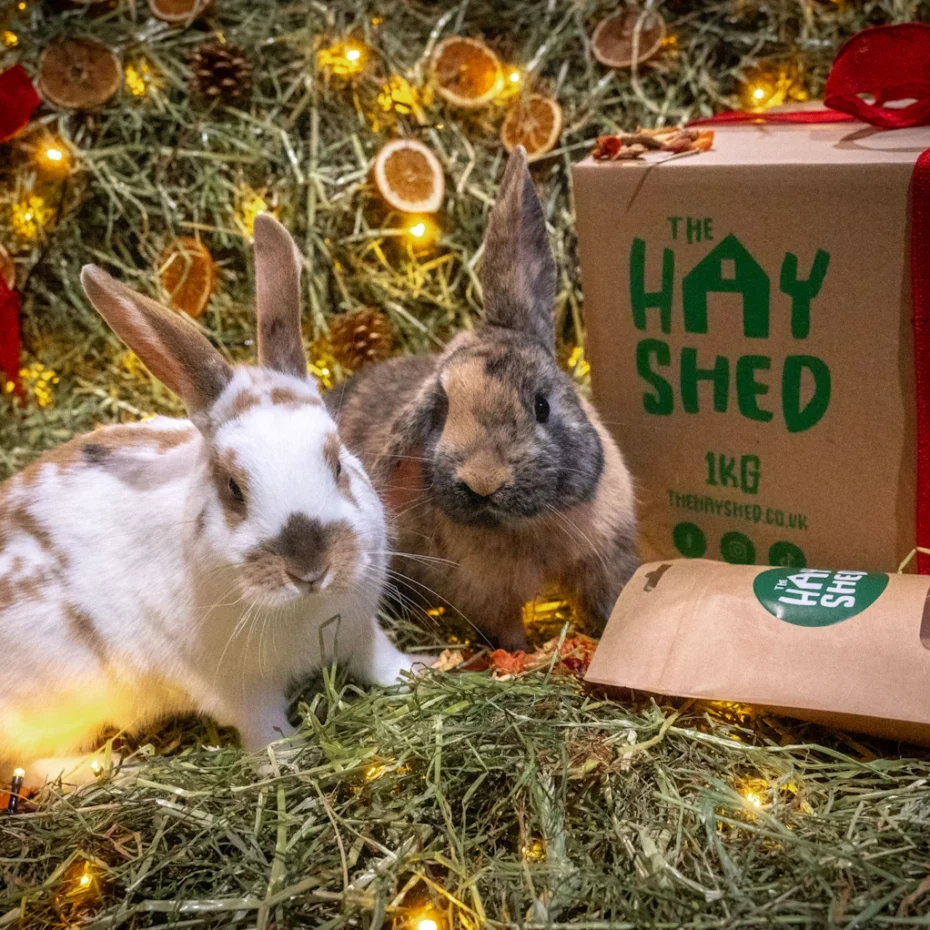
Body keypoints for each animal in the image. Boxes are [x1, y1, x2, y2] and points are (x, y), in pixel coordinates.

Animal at [0, 214, 426, 791]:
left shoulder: (360, 630)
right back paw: (108, 769)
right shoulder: (237, 686)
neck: (304, 609)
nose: (310, 568)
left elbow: (380, 661)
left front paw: (427, 669)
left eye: (337, 462)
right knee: (29, 766)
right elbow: (265, 725)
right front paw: (288, 762)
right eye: (233, 488)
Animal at [331, 147, 638, 652]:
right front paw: (524, 656)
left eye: (541, 405)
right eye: (441, 411)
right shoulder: (486, 598)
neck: (527, 525)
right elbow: (507, 633)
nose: (482, 481)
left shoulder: (605, 556)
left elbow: (610, 599)